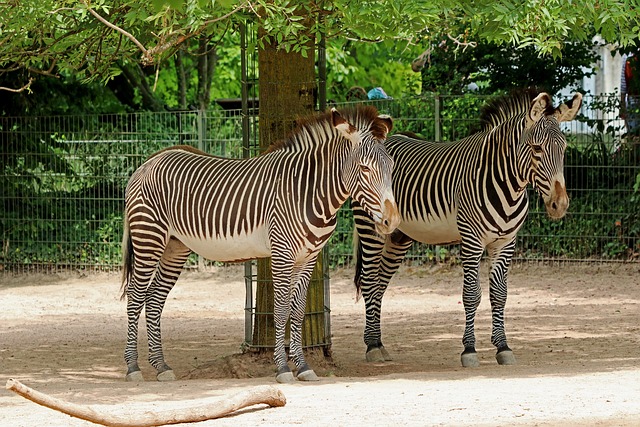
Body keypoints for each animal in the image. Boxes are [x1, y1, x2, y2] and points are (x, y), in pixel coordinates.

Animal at [121, 104, 400, 384]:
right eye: (365, 169)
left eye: (391, 167)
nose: (393, 221)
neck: (309, 192)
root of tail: (149, 161)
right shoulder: (282, 253)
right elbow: (280, 309)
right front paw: (283, 369)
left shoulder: (308, 257)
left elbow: (297, 311)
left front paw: (303, 367)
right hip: (149, 238)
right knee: (135, 296)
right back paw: (133, 368)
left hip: (175, 247)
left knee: (154, 298)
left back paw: (161, 366)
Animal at [352, 89, 584, 368]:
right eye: (537, 148)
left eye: (564, 148)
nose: (560, 205)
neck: (508, 184)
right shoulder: (472, 241)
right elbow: (472, 294)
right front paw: (469, 350)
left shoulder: (505, 242)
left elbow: (500, 294)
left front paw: (503, 347)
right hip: (371, 228)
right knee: (368, 281)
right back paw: (372, 346)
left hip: (398, 236)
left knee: (380, 283)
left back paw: (379, 342)